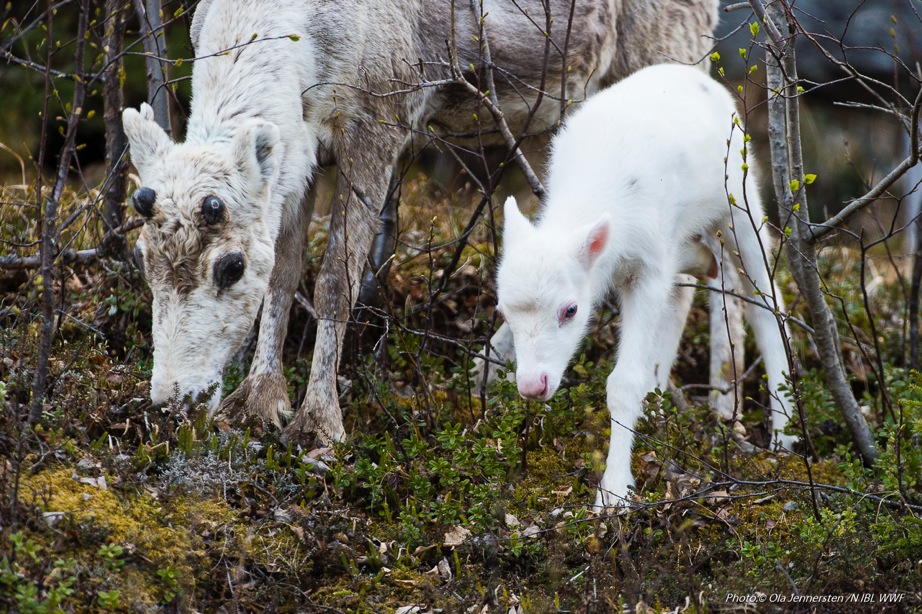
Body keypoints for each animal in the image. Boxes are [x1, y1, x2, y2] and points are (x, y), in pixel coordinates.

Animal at [496, 65, 792, 512]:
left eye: (570, 310)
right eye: (503, 312)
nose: (533, 385)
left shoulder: (649, 269)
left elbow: (623, 382)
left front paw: (614, 492)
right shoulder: (653, 261)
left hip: (738, 203)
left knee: (765, 302)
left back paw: (783, 432)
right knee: (693, 286)